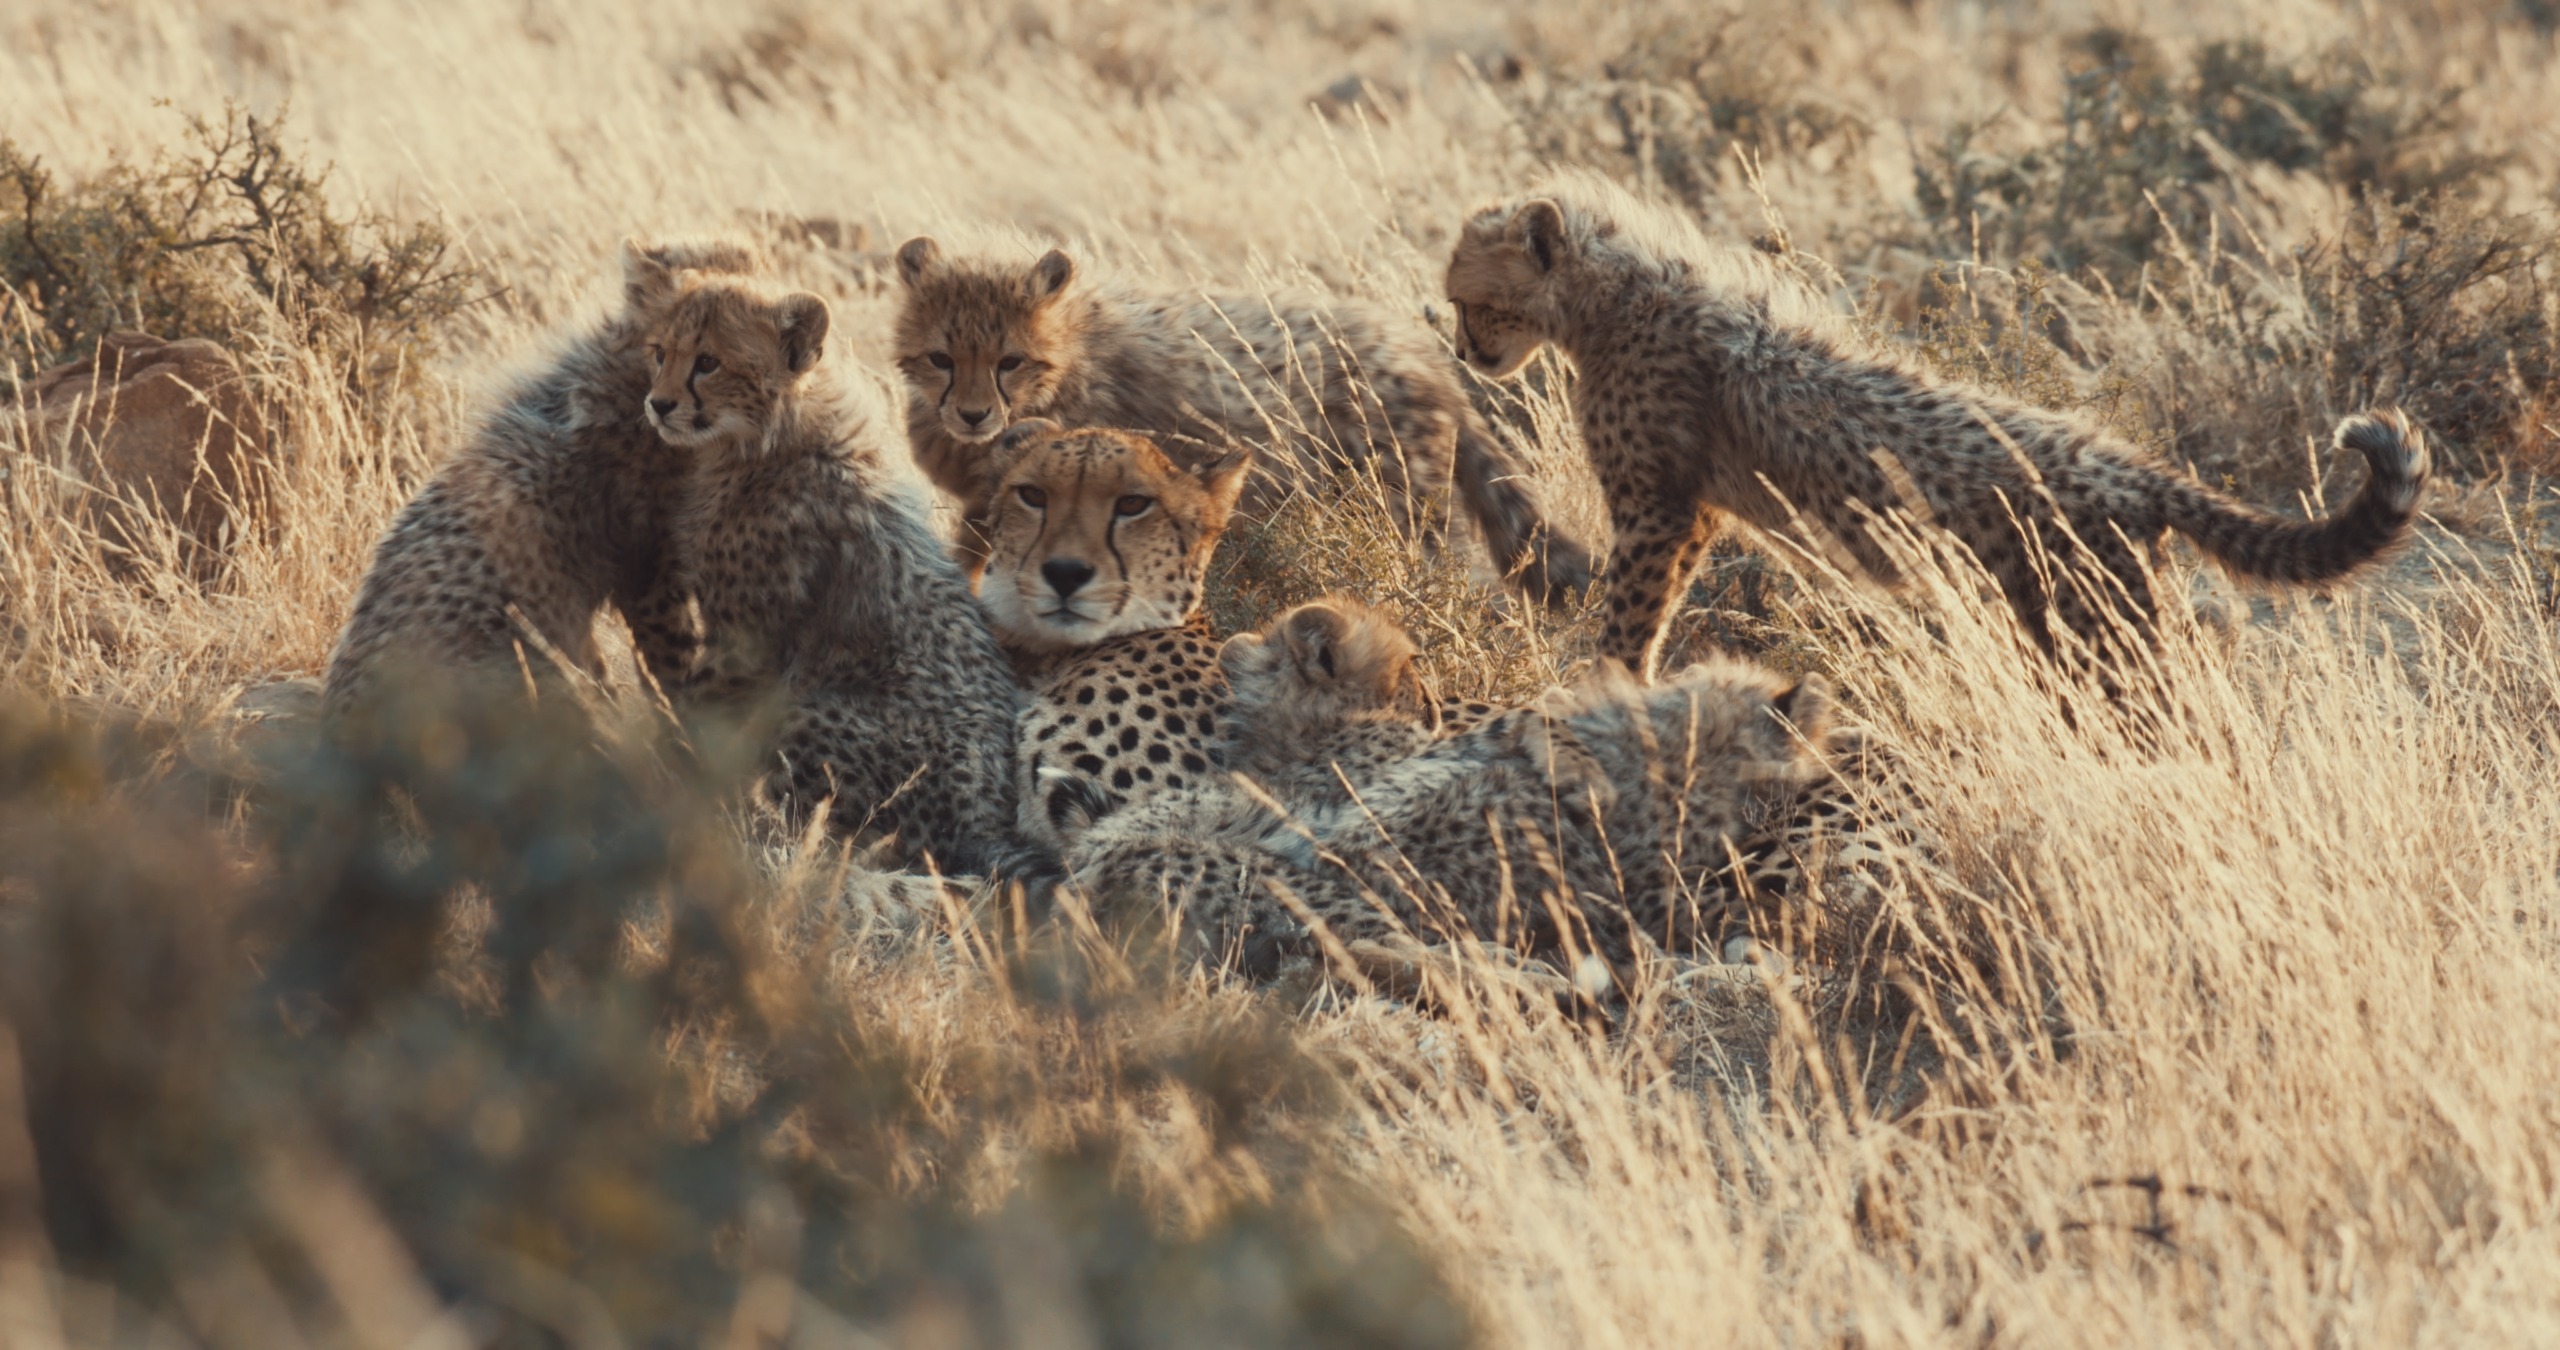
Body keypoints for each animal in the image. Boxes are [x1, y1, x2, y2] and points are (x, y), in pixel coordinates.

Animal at [645, 260, 1024, 876]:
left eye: (708, 362)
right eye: (659, 352)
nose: (657, 404)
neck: (767, 440)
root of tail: (986, 821)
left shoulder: (743, 642)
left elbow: (698, 717)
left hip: (801, 710)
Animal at [890, 238, 1587, 601]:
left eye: (1009, 361)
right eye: (941, 359)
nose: (973, 414)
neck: (1068, 359)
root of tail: (1426, 355)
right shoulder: (987, 504)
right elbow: (967, 561)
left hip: (1404, 512)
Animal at [1454, 174, 2426, 681]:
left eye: (1469, 299)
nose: (1463, 352)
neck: (1610, 293)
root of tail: (2127, 465)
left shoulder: (1660, 507)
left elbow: (1629, 612)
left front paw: (1599, 686)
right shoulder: (1695, 512)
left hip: (2096, 632)